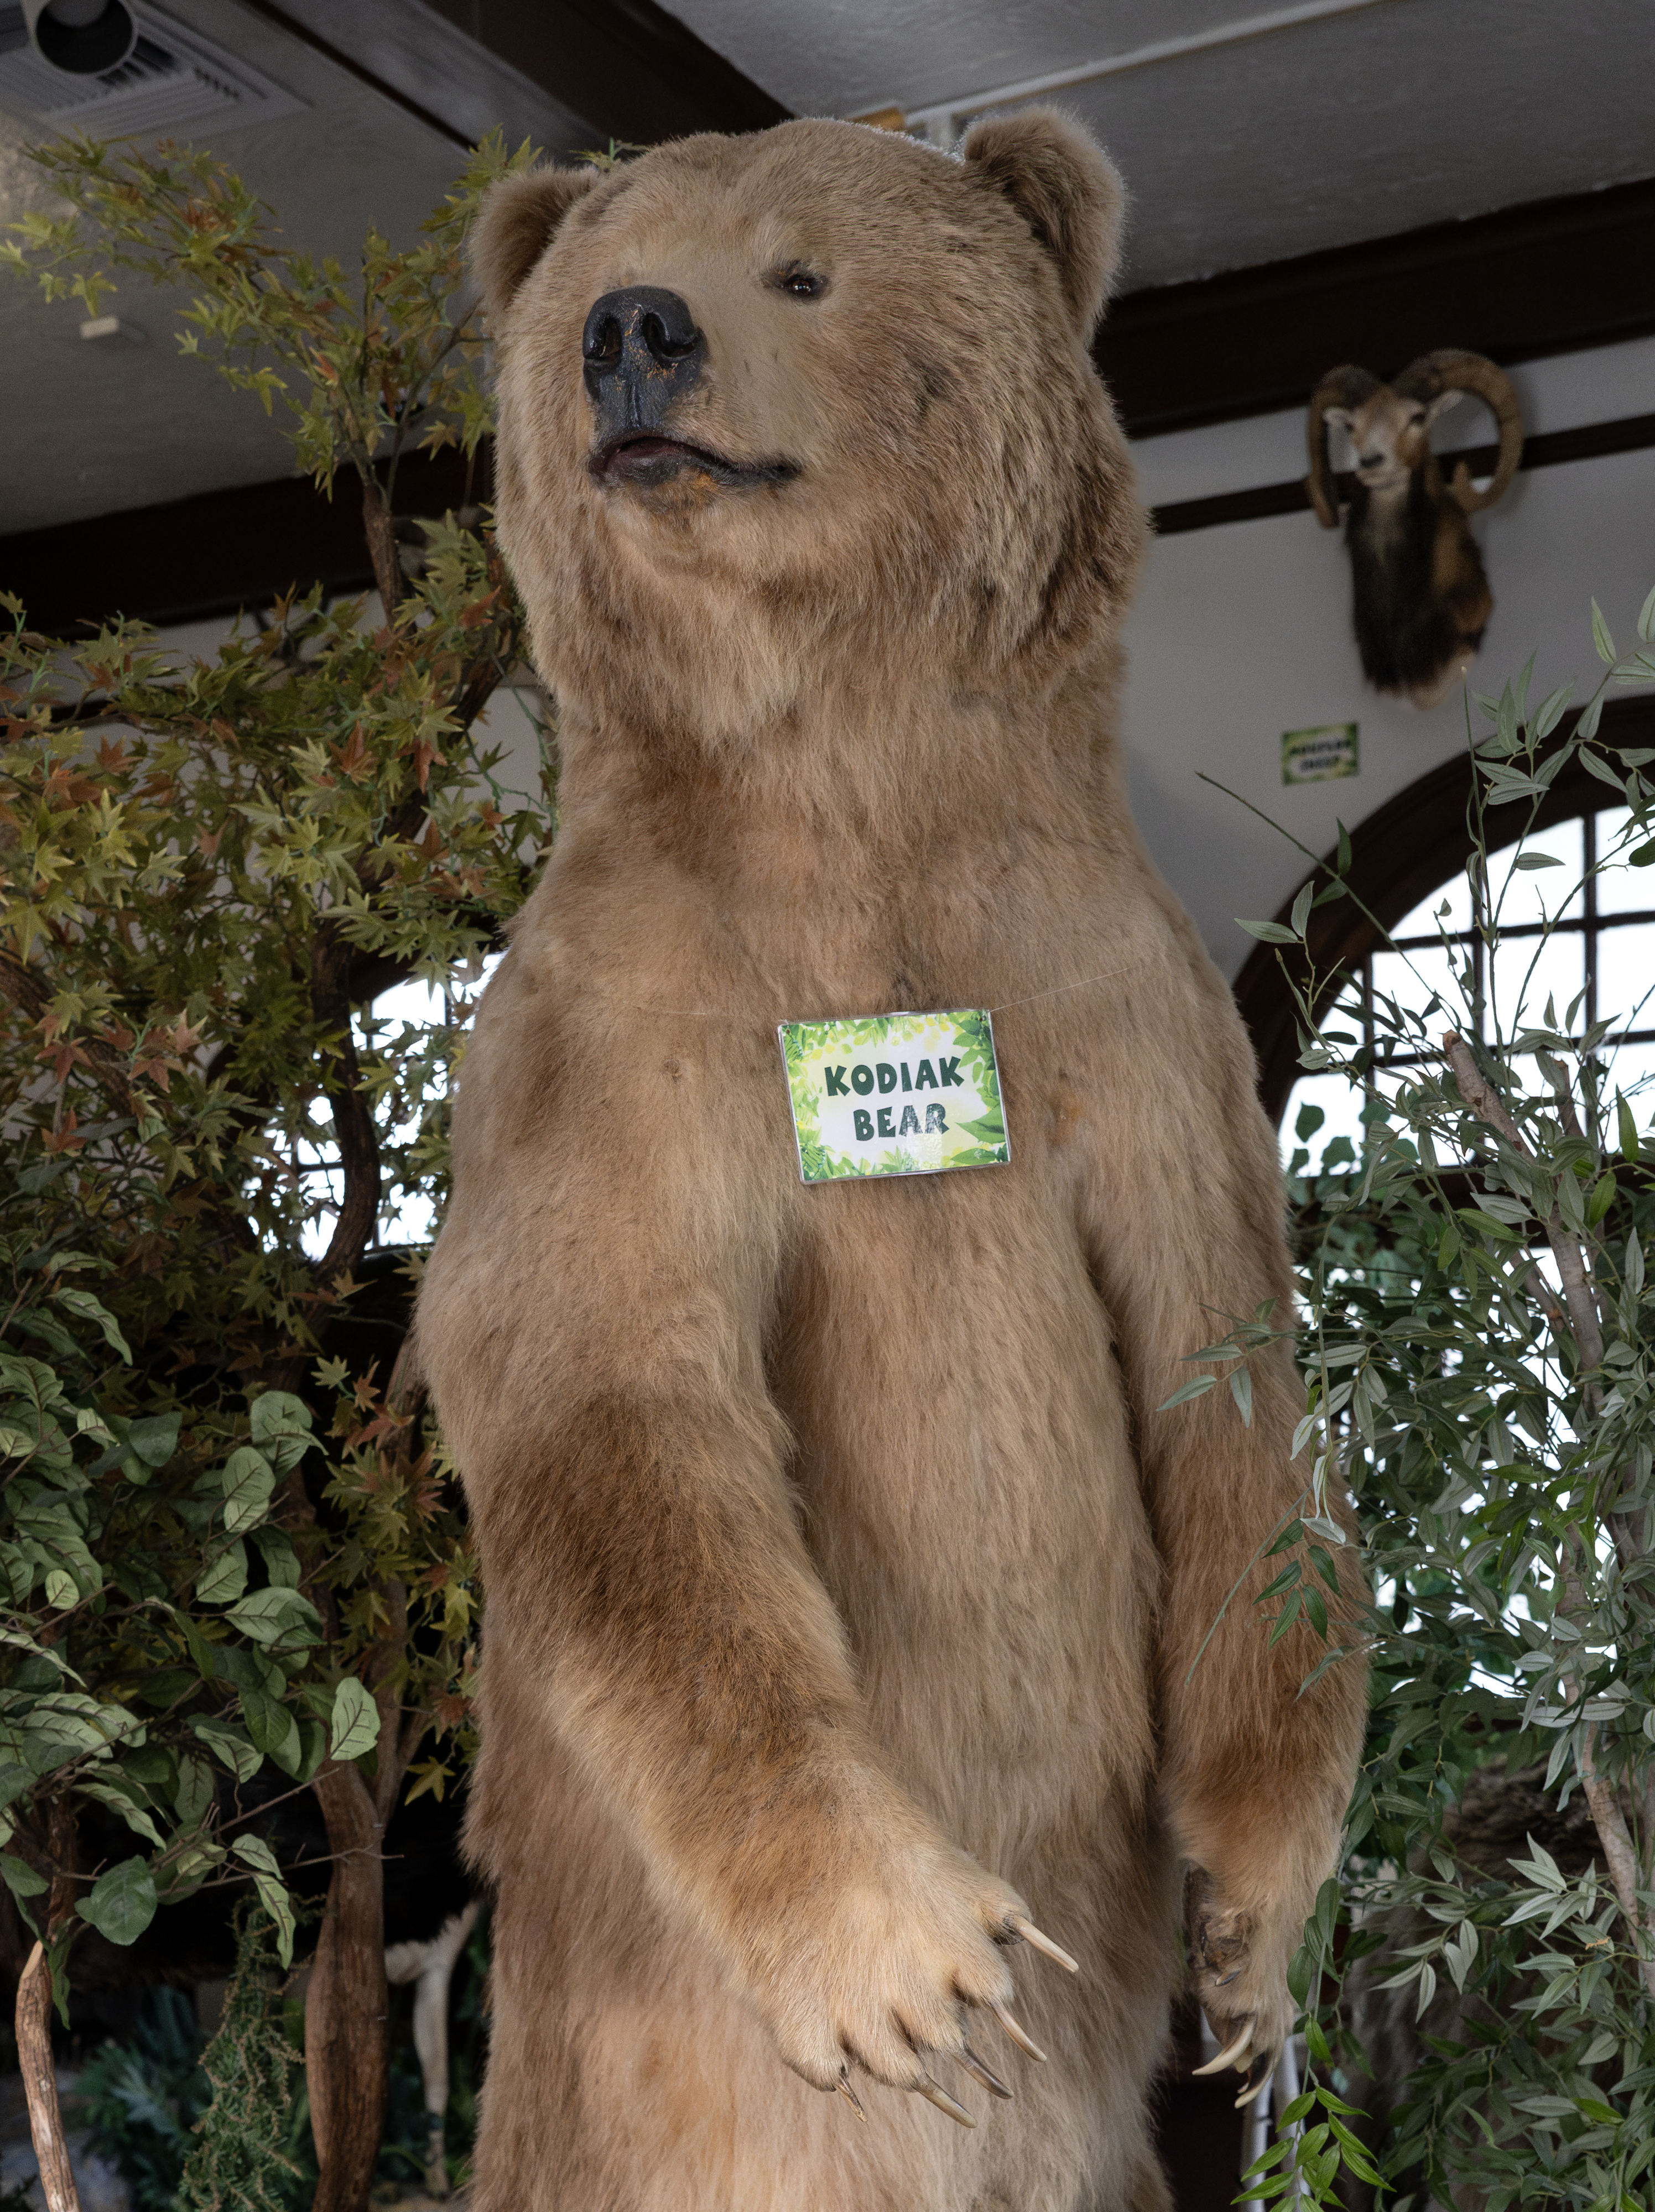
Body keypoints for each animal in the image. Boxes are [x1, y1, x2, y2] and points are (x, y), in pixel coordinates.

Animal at [415, 109, 1368, 2212]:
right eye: (595, 274)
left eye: (801, 270)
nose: (630, 329)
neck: (838, 774)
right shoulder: (617, 1032)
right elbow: (616, 1410)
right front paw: (926, 1961)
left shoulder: (1113, 1007)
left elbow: (1227, 1399)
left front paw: (1250, 1940)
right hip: (638, 2084)